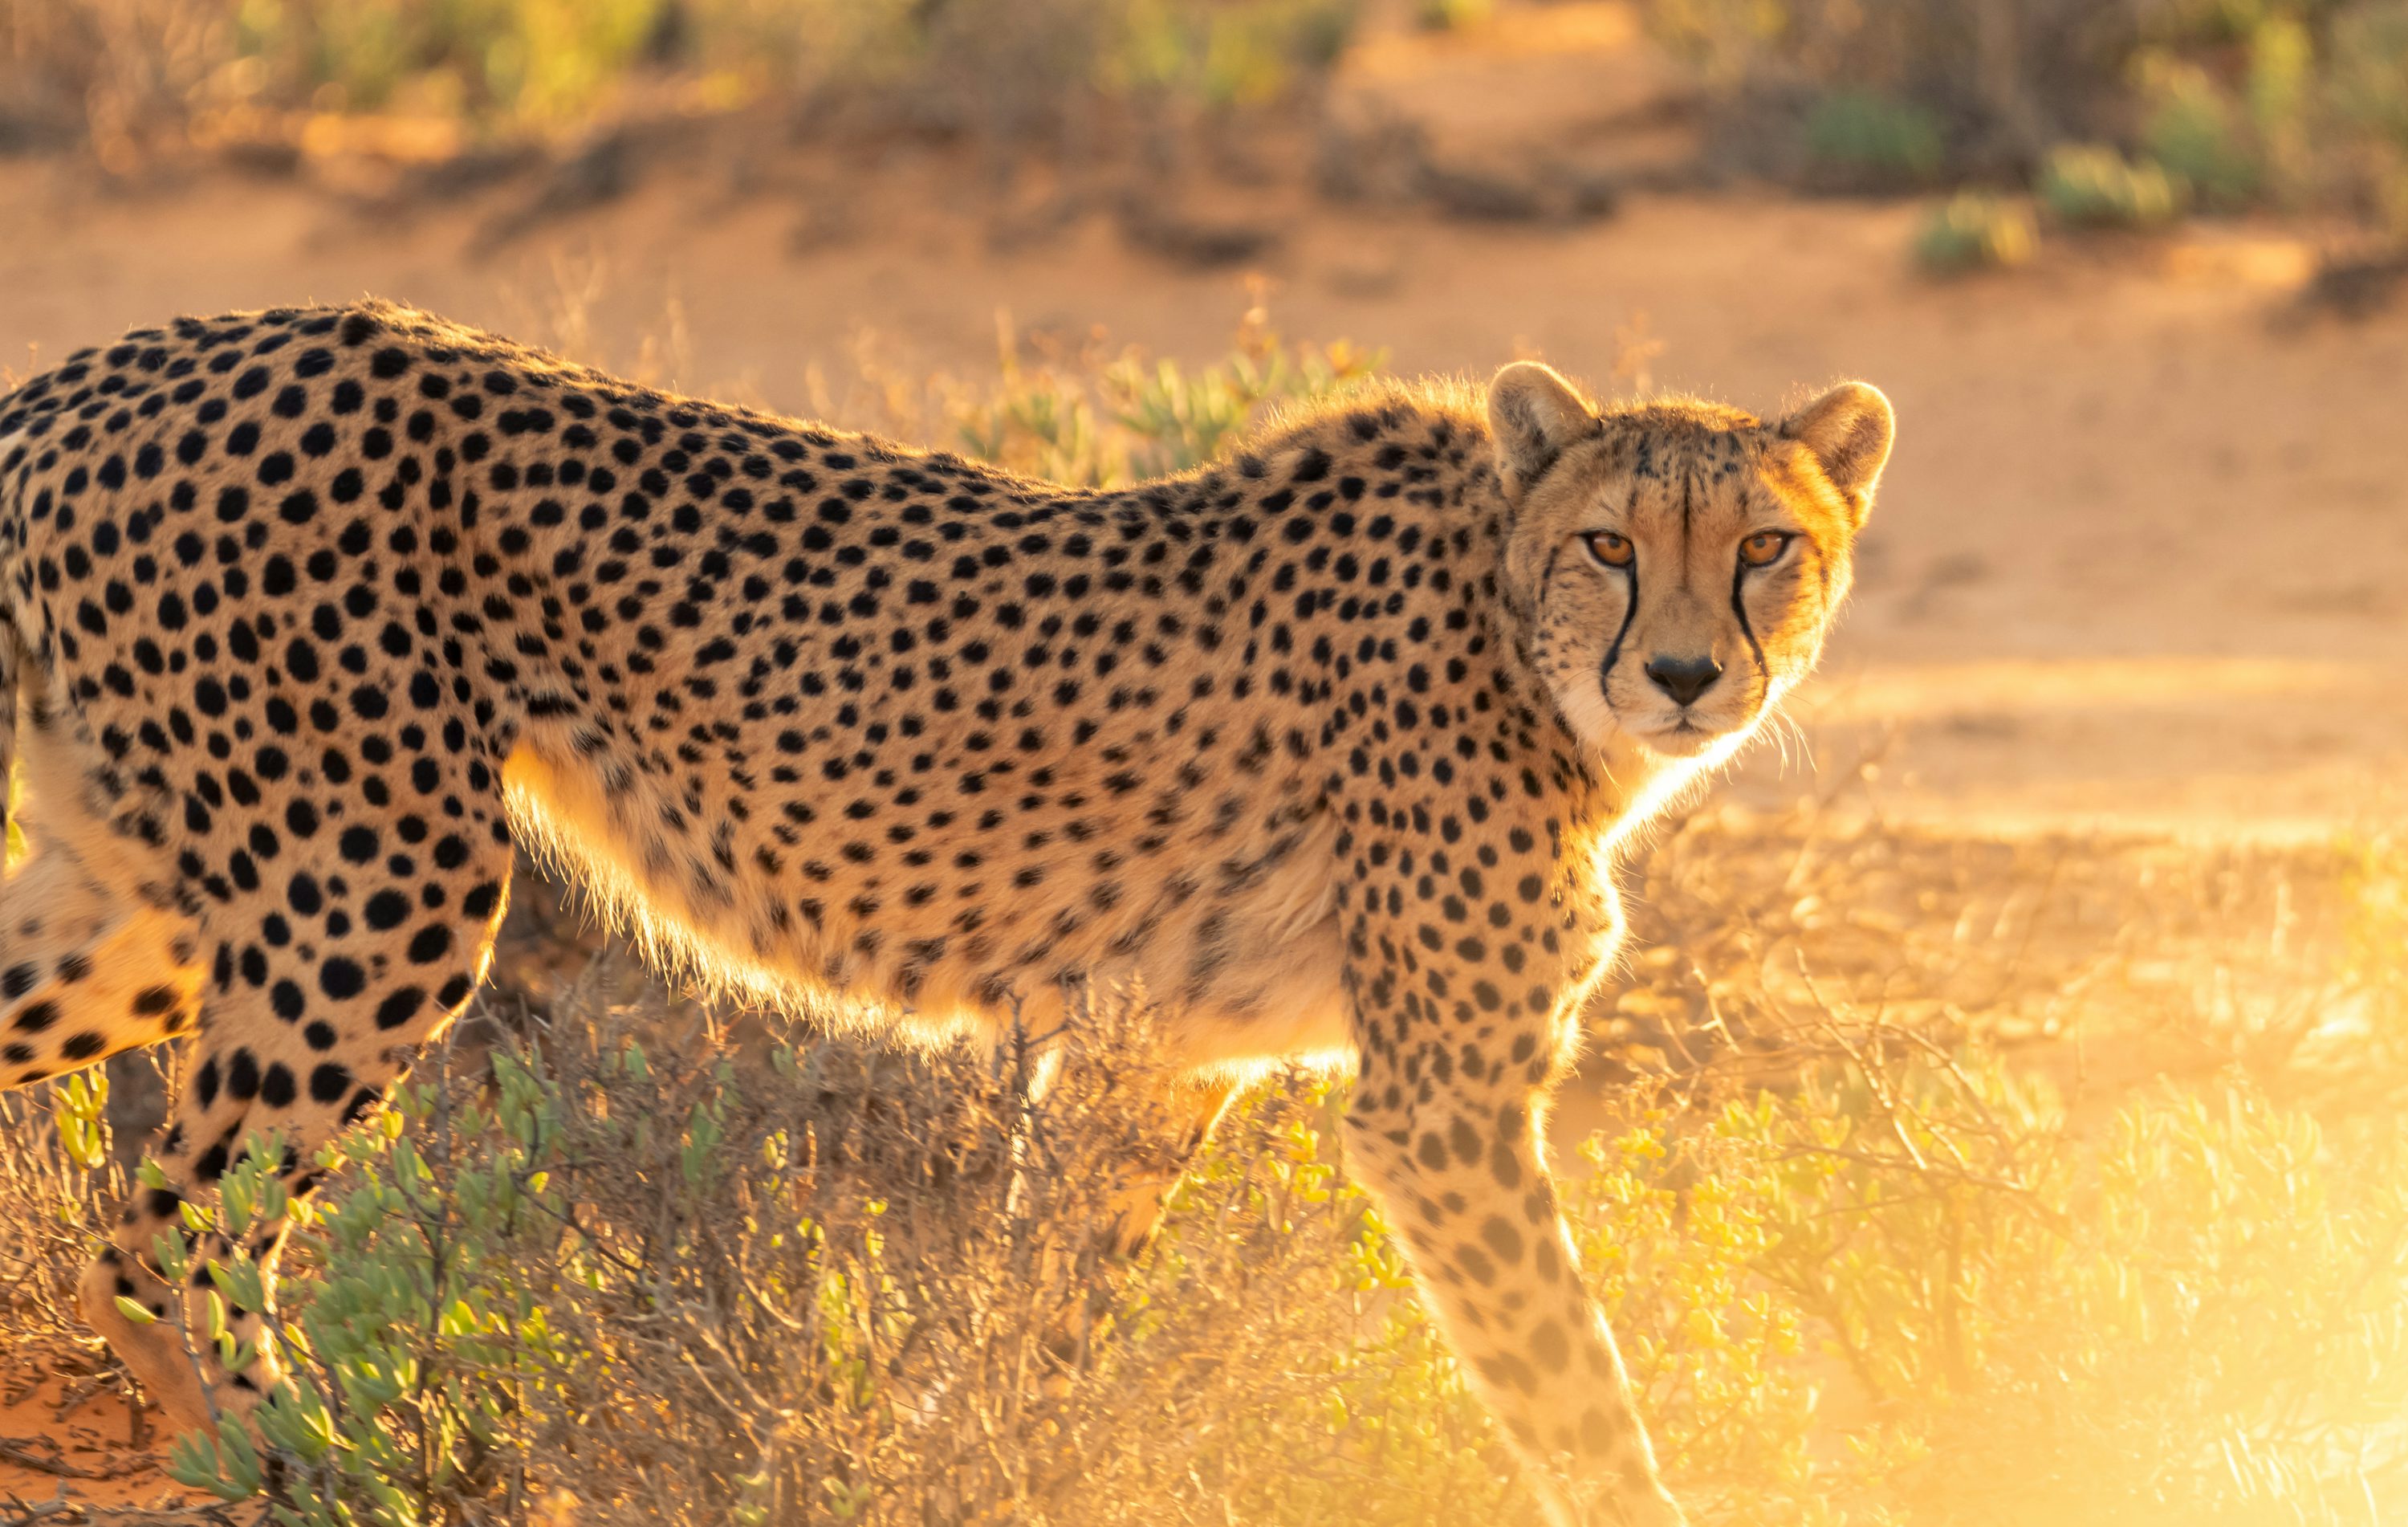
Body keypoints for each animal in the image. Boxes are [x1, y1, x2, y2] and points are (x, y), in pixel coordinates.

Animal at [0, 299, 1891, 1525]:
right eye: (1611, 543)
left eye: (1765, 548)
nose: (1685, 675)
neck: (1510, 623)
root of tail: (113, 364)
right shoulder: (1442, 1111)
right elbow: (1576, 1393)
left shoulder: (1152, 1061)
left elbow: (1040, 1324)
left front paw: (972, 1465)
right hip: (374, 885)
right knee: (178, 1222)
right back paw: (306, 1469)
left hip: (156, 901)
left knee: (121, 1195)